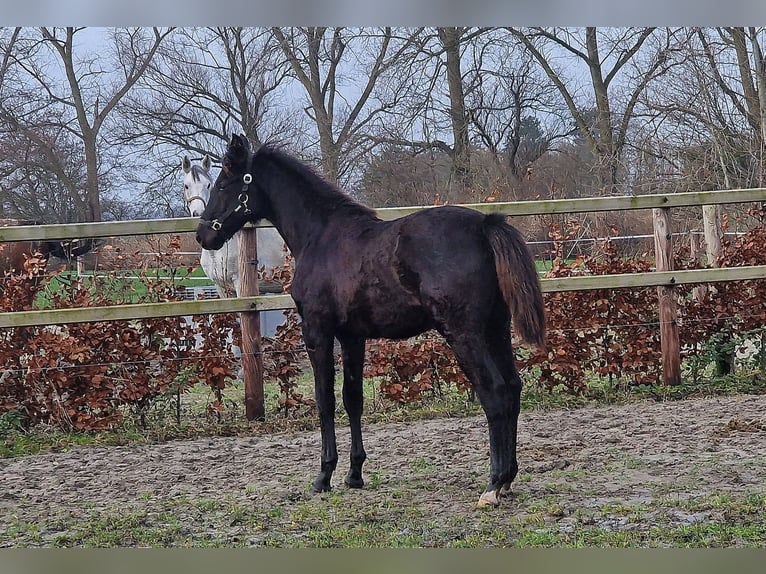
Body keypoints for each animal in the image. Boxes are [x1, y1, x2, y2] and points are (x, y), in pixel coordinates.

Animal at [182, 155, 285, 297]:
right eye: (186, 186)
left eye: (208, 185)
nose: (199, 213)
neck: (215, 252)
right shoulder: (221, 287)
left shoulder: (239, 283)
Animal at [195, 134, 546, 508]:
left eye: (223, 184)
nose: (203, 235)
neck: (322, 236)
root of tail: (484, 226)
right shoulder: (353, 336)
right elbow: (353, 399)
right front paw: (354, 474)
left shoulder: (318, 332)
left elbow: (325, 399)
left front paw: (323, 476)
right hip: (496, 329)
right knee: (513, 387)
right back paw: (507, 480)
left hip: (465, 334)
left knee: (494, 392)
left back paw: (493, 485)